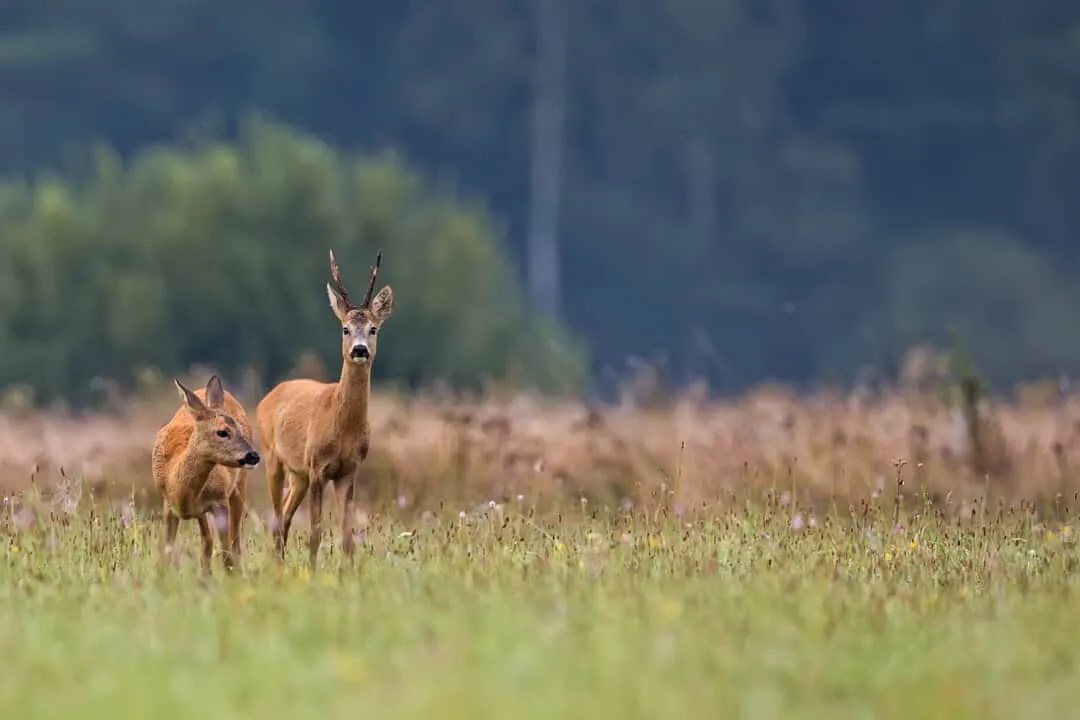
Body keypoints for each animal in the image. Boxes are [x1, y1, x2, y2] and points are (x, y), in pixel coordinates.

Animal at [151, 374, 261, 574]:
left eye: (240, 430)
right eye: (222, 432)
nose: (253, 456)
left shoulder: (220, 501)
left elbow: (226, 554)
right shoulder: (168, 505)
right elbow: (166, 551)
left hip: (239, 488)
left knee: (234, 543)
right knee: (208, 542)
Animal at [256, 249, 393, 569]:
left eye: (373, 329)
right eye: (345, 328)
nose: (359, 349)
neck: (341, 424)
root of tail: (269, 395)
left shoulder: (349, 470)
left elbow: (347, 537)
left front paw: (349, 573)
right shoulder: (317, 466)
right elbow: (316, 532)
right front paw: (313, 572)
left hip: (299, 474)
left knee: (285, 518)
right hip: (273, 459)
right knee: (277, 519)